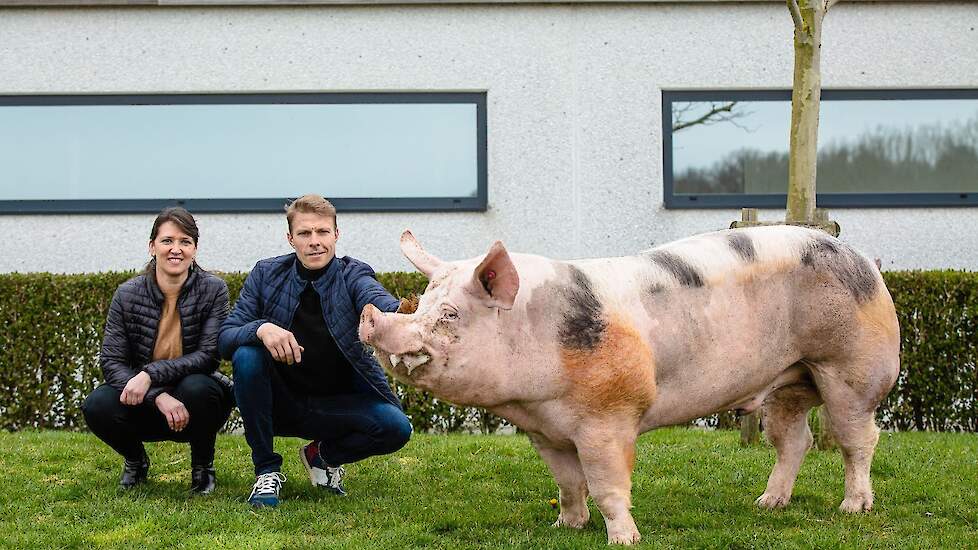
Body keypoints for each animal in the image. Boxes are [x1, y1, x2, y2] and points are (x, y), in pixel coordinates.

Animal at [358, 225, 900, 548]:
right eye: (423, 303)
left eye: (450, 315)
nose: (369, 317)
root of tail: (867, 262)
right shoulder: (546, 431)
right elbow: (567, 482)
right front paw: (565, 526)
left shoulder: (609, 417)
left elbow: (606, 484)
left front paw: (624, 539)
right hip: (789, 380)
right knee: (795, 439)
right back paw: (766, 505)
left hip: (851, 370)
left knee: (859, 439)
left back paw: (853, 508)